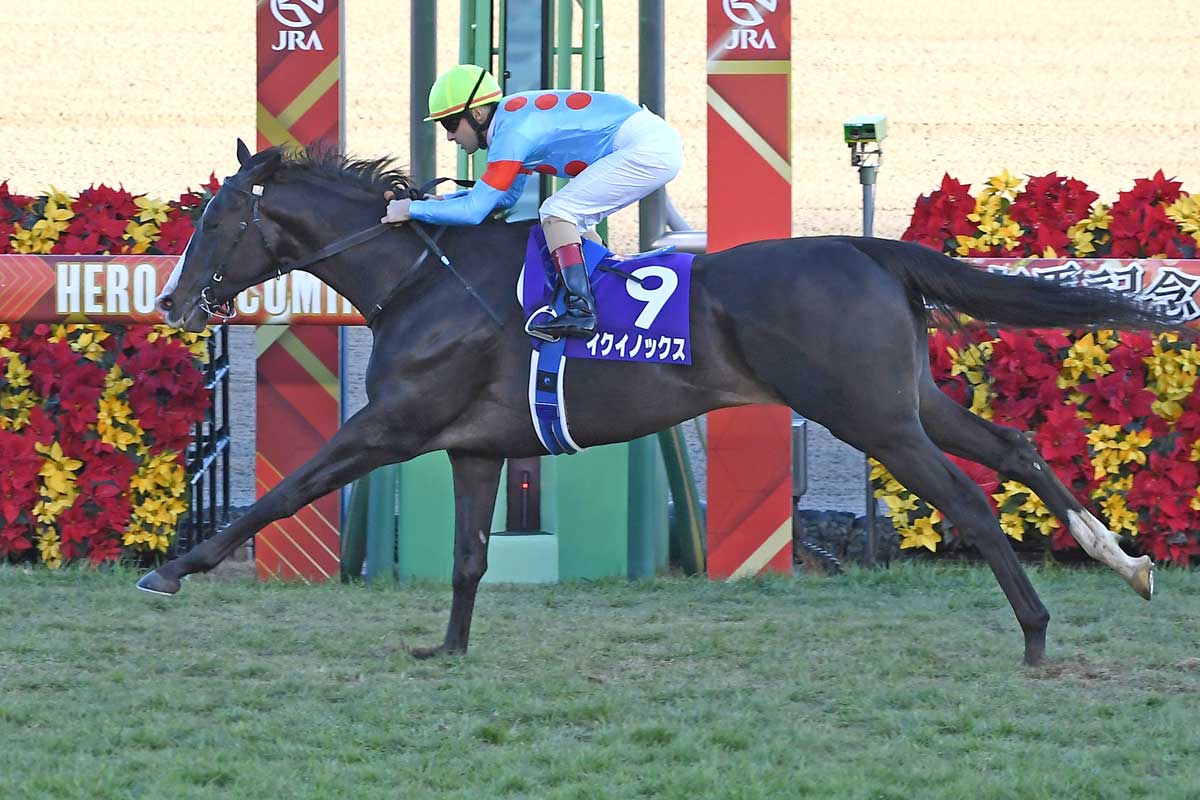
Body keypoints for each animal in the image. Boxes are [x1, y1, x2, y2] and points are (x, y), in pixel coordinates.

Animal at [140, 140, 1182, 666]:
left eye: (215, 219)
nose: (173, 302)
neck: (419, 278)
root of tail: (868, 248)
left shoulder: (392, 427)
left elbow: (283, 493)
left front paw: (174, 571)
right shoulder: (471, 446)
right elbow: (471, 555)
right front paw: (448, 649)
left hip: (871, 418)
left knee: (968, 497)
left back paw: (1038, 633)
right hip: (909, 400)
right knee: (1014, 448)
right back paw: (1125, 564)